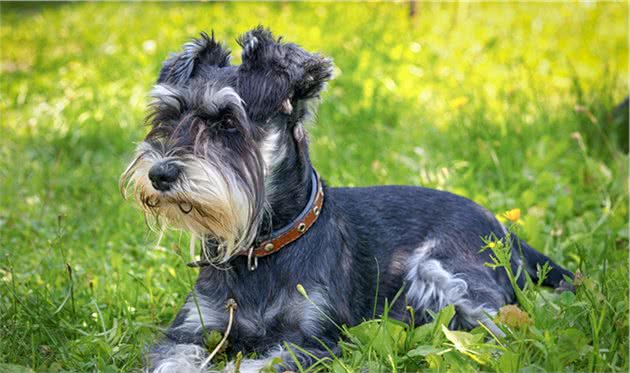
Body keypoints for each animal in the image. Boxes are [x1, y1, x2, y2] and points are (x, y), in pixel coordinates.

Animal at [119, 27, 576, 370]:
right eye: (168, 116)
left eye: (228, 122)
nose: (159, 174)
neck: (263, 247)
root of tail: (504, 229)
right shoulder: (190, 330)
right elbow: (173, 359)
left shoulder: (313, 340)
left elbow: (261, 363)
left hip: (444, 272)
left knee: (504, 329)